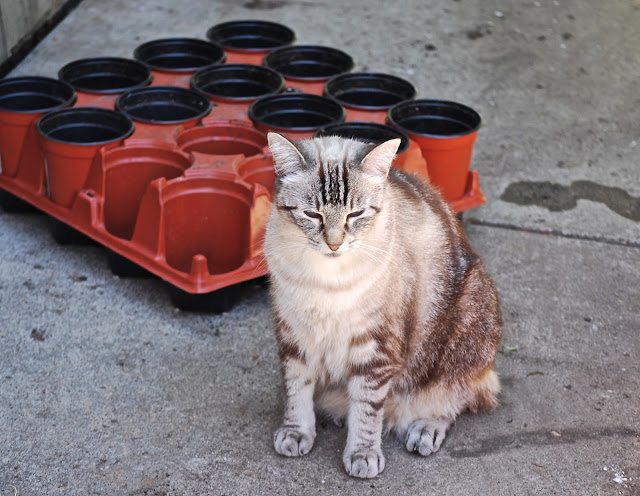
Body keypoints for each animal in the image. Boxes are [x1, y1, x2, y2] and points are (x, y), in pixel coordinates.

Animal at [264, 132, 502, 479]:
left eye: (355, 214)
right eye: (313, 215)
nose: (334, 244)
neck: (326, 281)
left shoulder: (374, 347)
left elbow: (367, 408)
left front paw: (362, 453)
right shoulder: (294, 334)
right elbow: (298, 390)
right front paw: (297, 432)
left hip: (469, 322)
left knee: (456, 395)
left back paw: (425, 427)